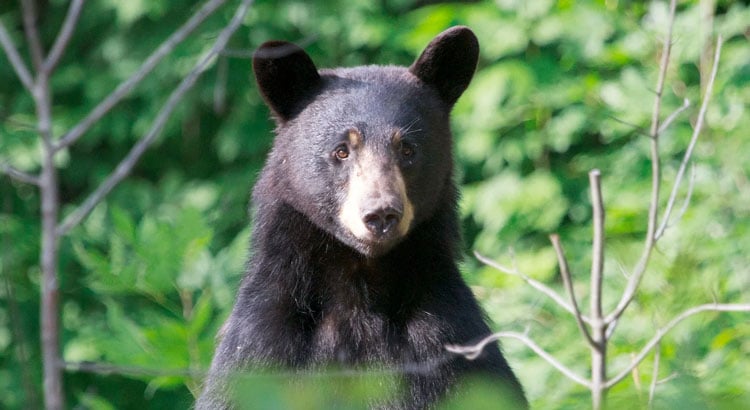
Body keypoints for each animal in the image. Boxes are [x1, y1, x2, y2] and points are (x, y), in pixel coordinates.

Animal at [197, 26, 526, 409]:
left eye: (408, 148)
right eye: (341, 150)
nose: (381, 214)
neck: (359, 290)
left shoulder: (448, 344)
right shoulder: (262, 347)